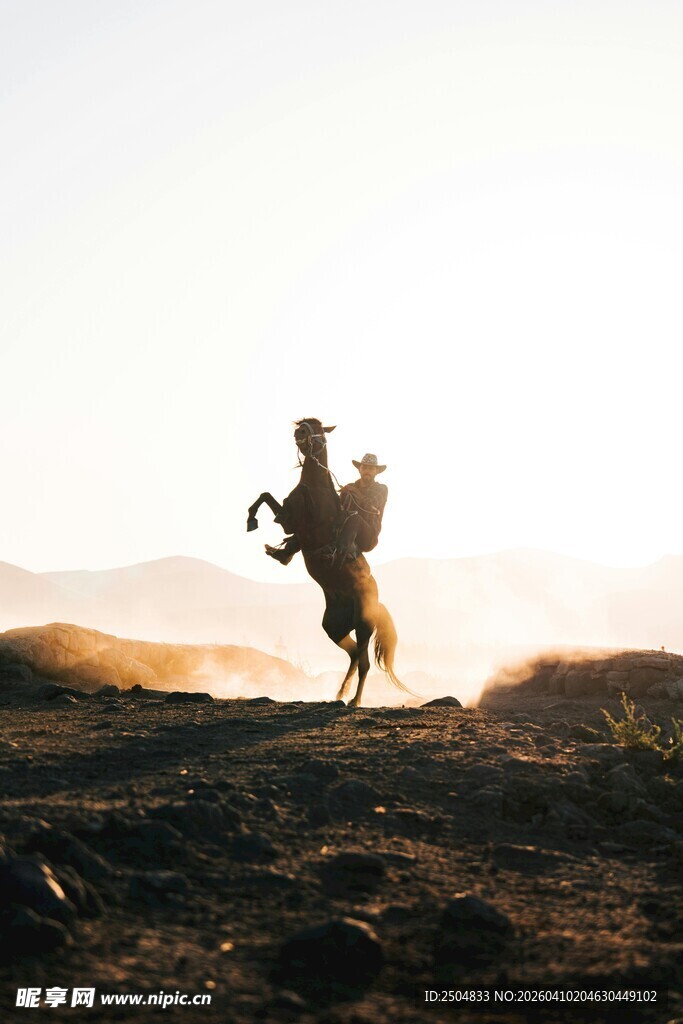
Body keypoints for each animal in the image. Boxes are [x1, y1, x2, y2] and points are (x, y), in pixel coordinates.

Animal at [246, 417, 412, 707]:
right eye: (303, 424)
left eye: (318, 430)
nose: (298, 434)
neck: (317, 488)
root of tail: (377, 601)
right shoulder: (289, 520)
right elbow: (266, 496)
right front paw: (252, 521)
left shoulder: (299, 521)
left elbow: (278, 499)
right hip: (334, 627)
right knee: (354, 655)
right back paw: (339, 694)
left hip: (363, 625)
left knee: (364, 662)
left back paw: (354, 700)